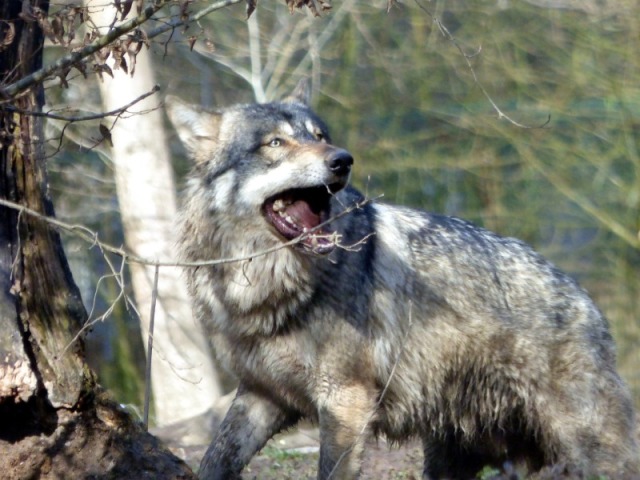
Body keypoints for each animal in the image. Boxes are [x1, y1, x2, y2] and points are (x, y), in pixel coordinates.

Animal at [166, 83, 640, 480]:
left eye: (319, 135)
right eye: (275, 143)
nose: (342, 159)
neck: (262, 288)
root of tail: (587, 303)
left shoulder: (346, 401)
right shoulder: (260, 395)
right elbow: (215, 460)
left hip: (584, 449)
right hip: (452, 458)